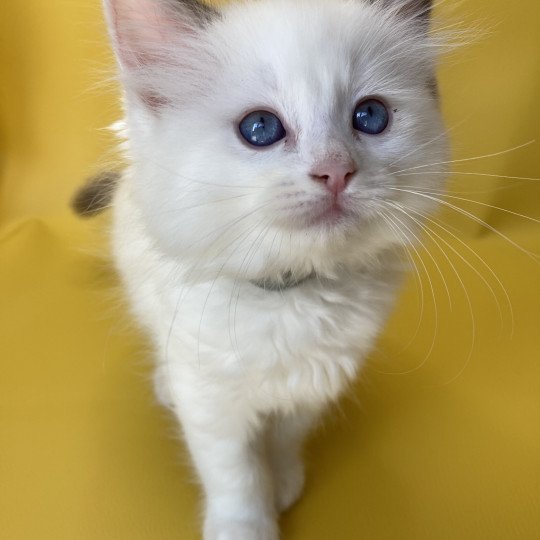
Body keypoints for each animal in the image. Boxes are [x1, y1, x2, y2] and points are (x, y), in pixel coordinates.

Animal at [82, 1, 450, 540]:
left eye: (371, 116)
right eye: (260, 129)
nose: (336, 171)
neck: (290, 289)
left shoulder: (316, 380)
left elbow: (282, 440)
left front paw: (284, 482)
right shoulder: (211, 398)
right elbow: (235, 473)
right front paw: (245, 525)